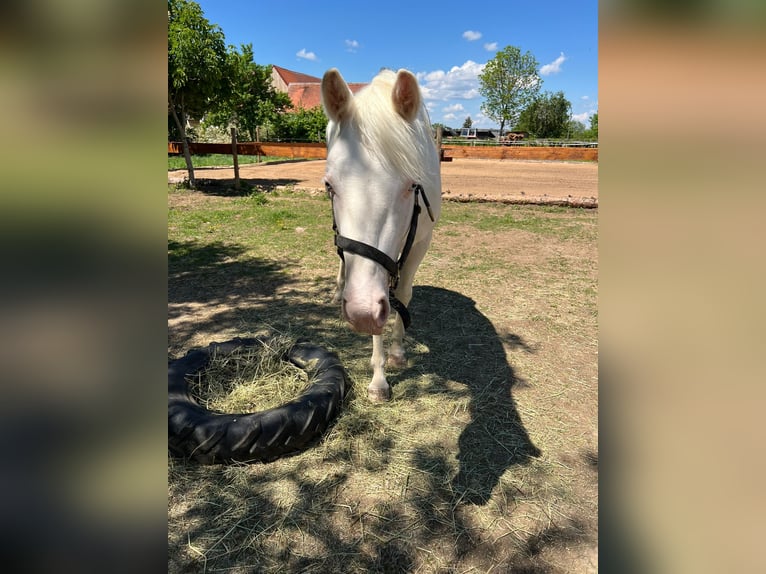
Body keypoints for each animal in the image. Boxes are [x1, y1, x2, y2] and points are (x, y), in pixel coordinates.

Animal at [320, 68, 440, 404]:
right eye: (329, 186)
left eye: (412, 186)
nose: (360, 313)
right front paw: (378, 379)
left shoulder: (421, 242)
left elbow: (402, 295)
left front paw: (398, 351)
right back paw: (338, 289)